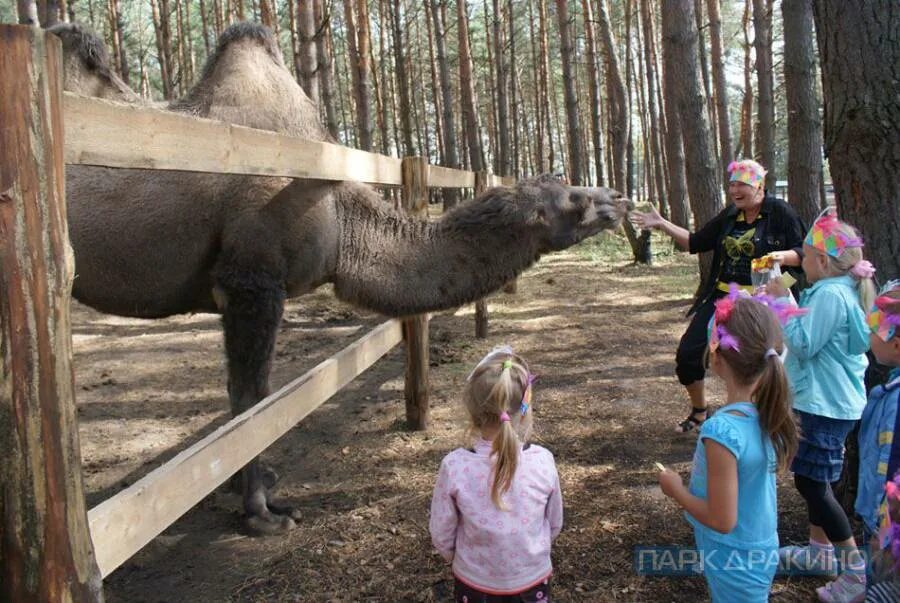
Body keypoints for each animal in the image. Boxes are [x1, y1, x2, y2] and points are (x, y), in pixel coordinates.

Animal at [51, 22, 632, 532]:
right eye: (572, 198)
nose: (616, 198)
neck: (337, 213)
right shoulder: (250, 281)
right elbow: (250, 403)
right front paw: (261, 512)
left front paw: (252, 487)